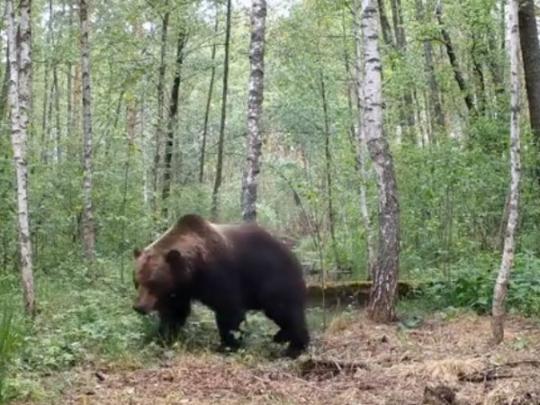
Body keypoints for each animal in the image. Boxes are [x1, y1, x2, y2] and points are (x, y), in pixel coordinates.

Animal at [132, 214, 309, 357]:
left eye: (153, 282)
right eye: (137, 281)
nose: (139, 307)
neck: (193, 271)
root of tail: (293, 255)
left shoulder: (219, 274)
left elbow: (229, 310)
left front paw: (228, 345)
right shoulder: (179, 289)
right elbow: (174, 313)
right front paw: (162, 337)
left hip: (273, 278)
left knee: (283, 309)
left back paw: (294, 346)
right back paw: (282, 336)